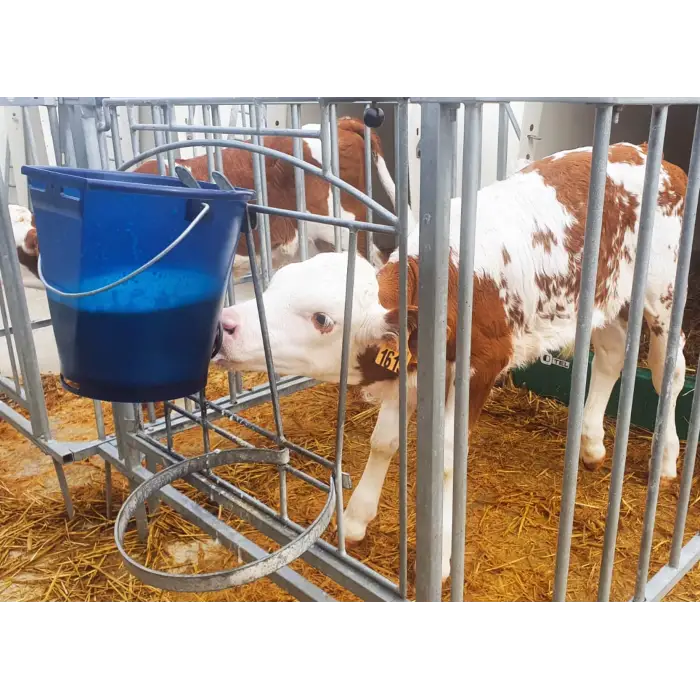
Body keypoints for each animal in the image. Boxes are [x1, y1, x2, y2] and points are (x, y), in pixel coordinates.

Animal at [212, 142, 689, 581]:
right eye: (275, 283)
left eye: (322, 319)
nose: (225, 324)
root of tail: (648, 154)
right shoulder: (412, 362)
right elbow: (384, 440)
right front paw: (356, 518)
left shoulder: (479, 369)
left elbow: (445, 458)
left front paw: (439, 556)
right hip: (605, 297)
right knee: (611, 354)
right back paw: (590, 445)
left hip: (662, 292)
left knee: (669, 370)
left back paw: (665, 461)